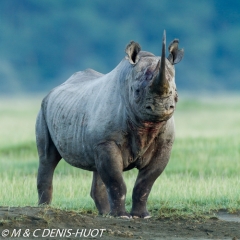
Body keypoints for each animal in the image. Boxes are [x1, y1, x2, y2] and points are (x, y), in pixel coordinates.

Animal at [36, 31, 184, 218]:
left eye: (176, 93)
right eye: (137, 91)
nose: (159, 108)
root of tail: (55, 88)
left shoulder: (164, 144)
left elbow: (145, 183)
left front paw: (141, 215)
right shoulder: (107, 141)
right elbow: (116, 180)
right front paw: (122, 216)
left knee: (96, 167)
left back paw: (105, 214)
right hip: (44, 108)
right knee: (47, 158)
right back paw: (44, 209)